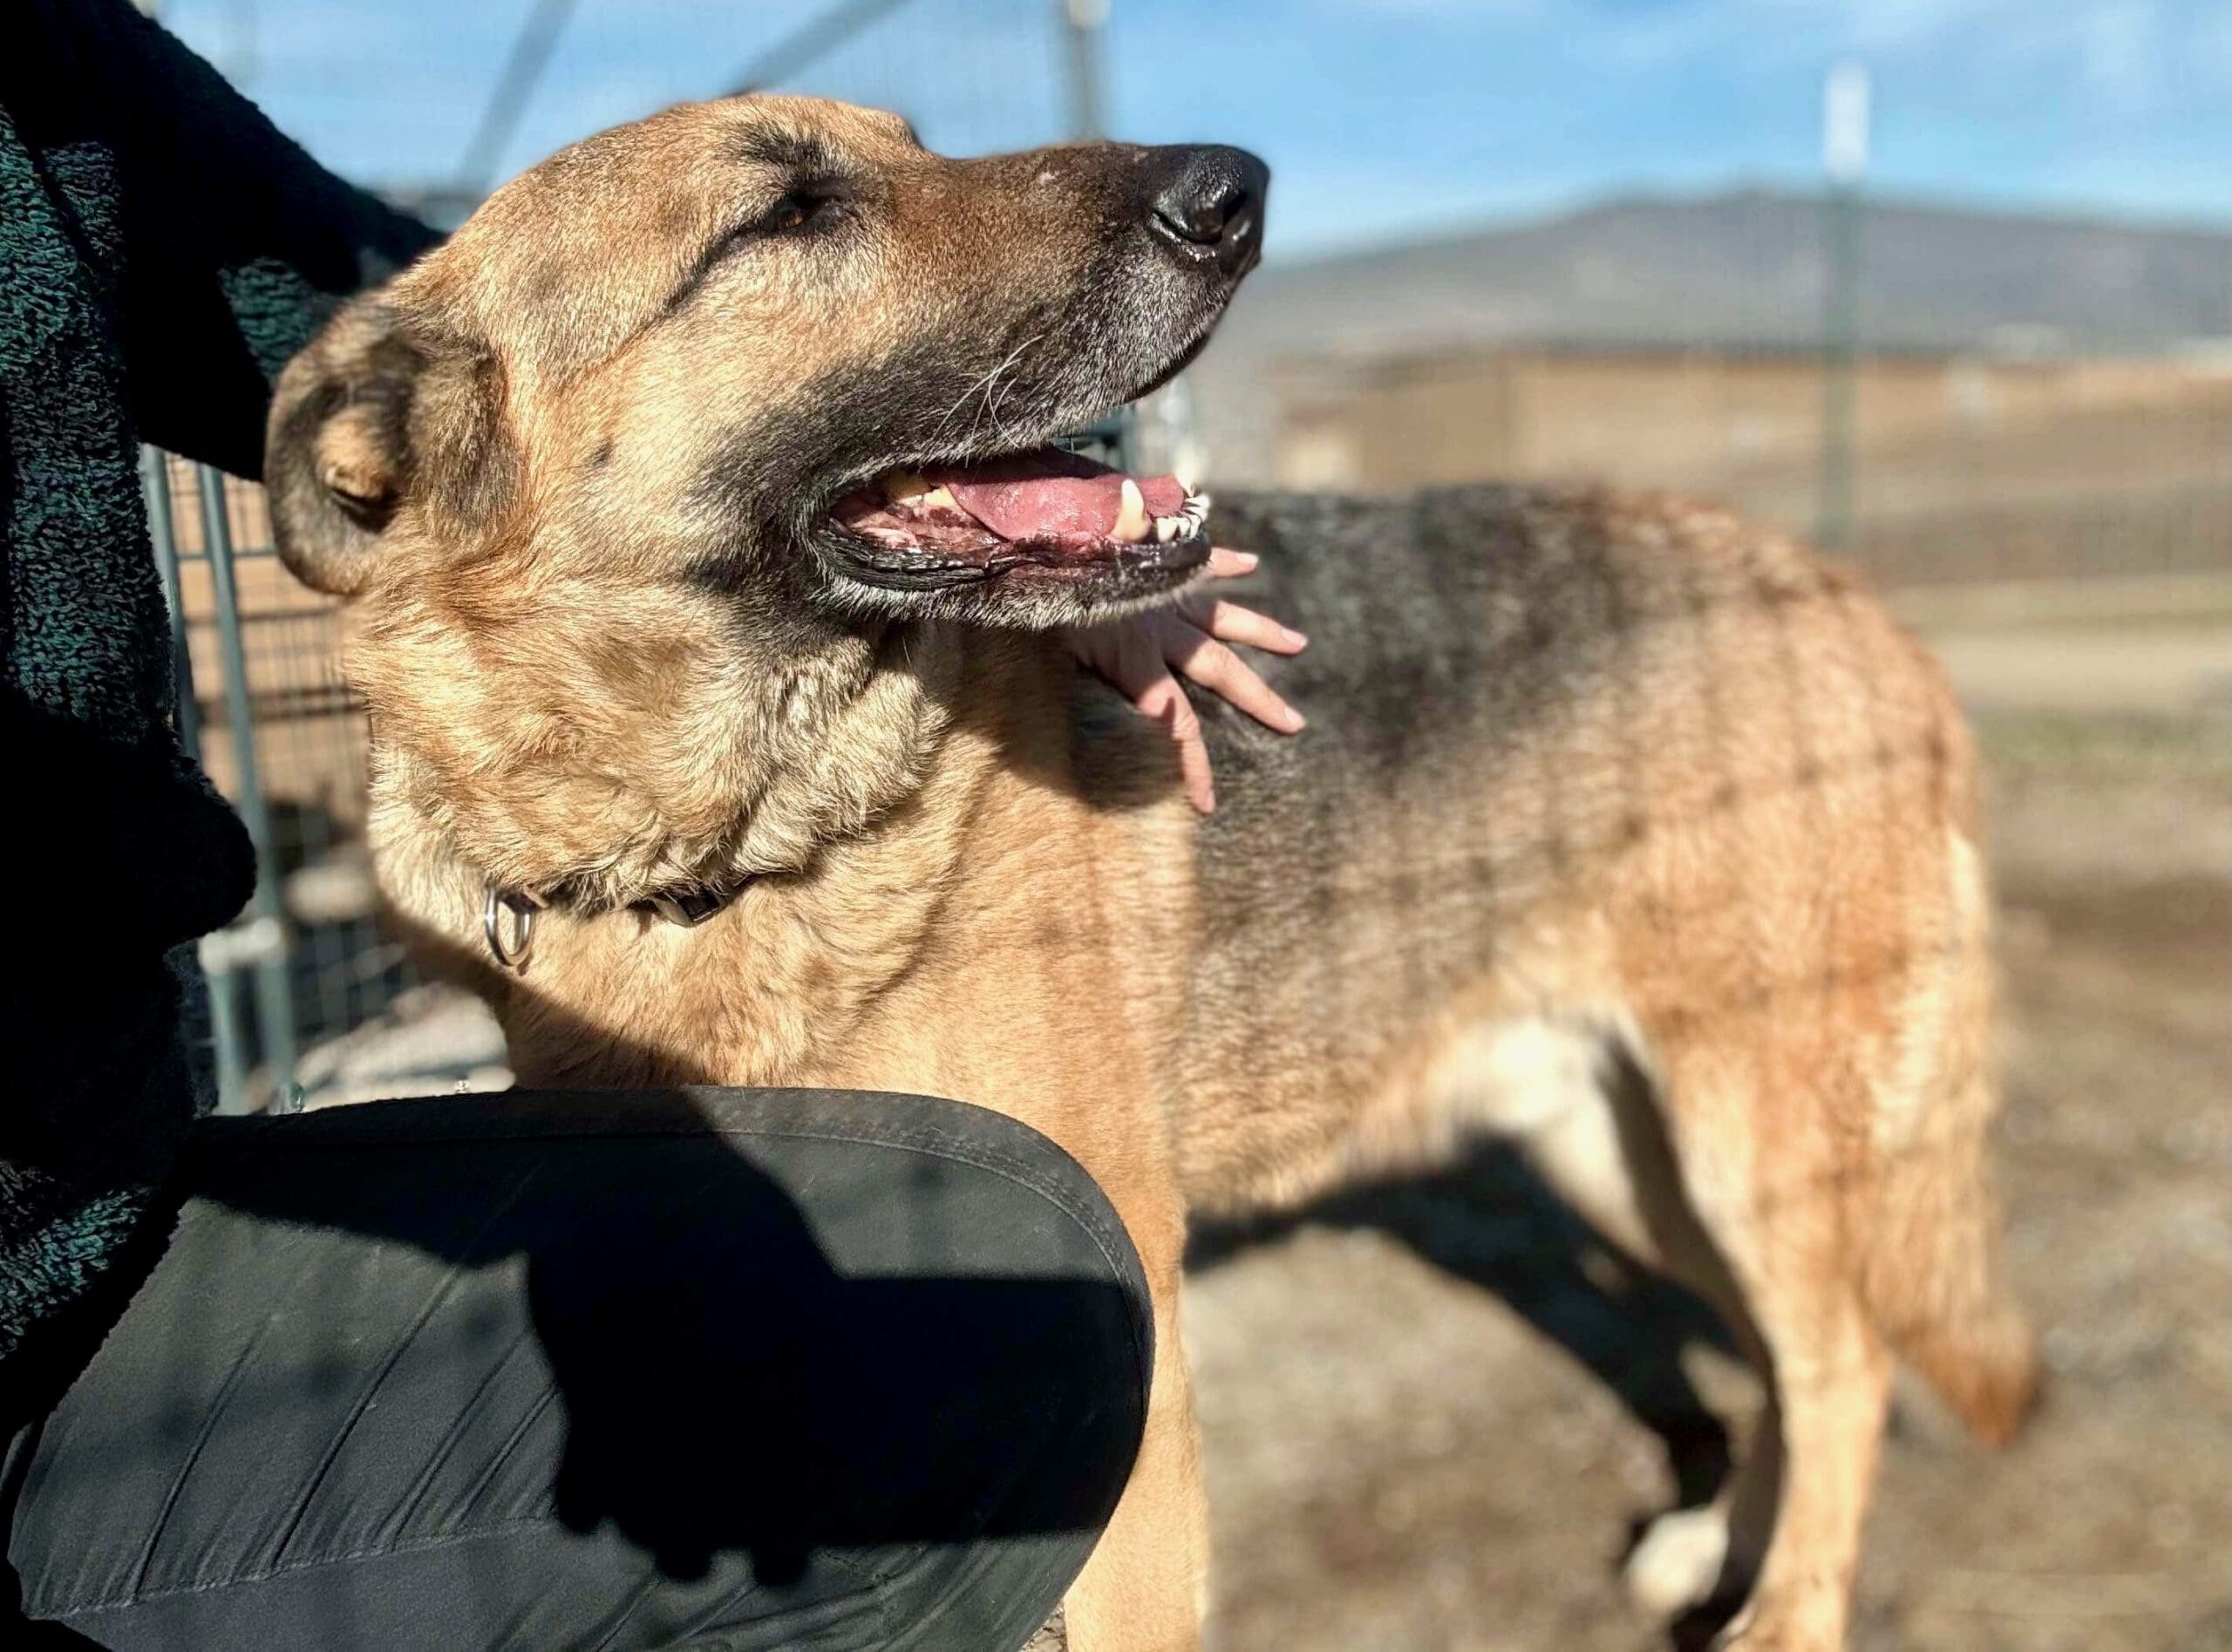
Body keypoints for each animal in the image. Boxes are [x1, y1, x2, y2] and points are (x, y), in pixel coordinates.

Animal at [265, 94, 2036, 1650]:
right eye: (785, 211)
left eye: (914, 145)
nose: (1236, 188)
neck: (747, 850)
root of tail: (1849, 598)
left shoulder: (1121, 1379)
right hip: (1627, 1148)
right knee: (1792, 1353)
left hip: (1747, 1139)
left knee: (1844, 1367)